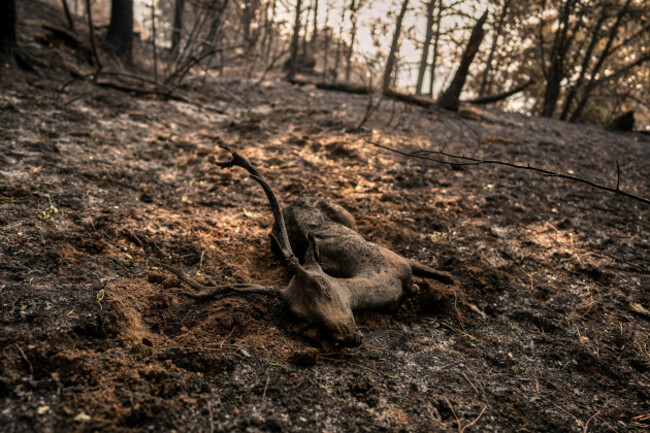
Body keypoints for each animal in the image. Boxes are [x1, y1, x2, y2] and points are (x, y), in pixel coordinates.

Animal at [170, 145, 454, 348]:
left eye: (324, 287)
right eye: (299, 314)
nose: (345, 337)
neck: (387, 278)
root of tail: (295, 200)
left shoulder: (399, 258)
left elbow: (443, 274)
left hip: (346, 213)